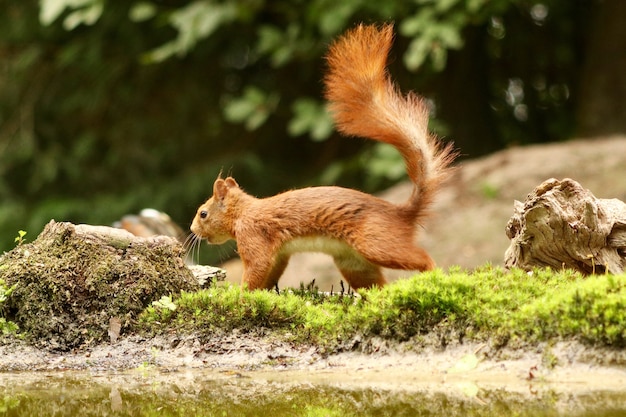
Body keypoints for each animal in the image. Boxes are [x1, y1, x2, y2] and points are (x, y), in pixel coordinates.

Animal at [189, 22, 454, 290]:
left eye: (203, 213)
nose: (191, 228)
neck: (243, 213)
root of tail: (402, 213)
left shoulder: (253, 235)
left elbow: (257, 267)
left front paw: (241, 293)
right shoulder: (280, 254)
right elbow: (271, 271)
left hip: (376, 242)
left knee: (421, 256)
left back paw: (434, 273)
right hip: (354, 263)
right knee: (376, 285)